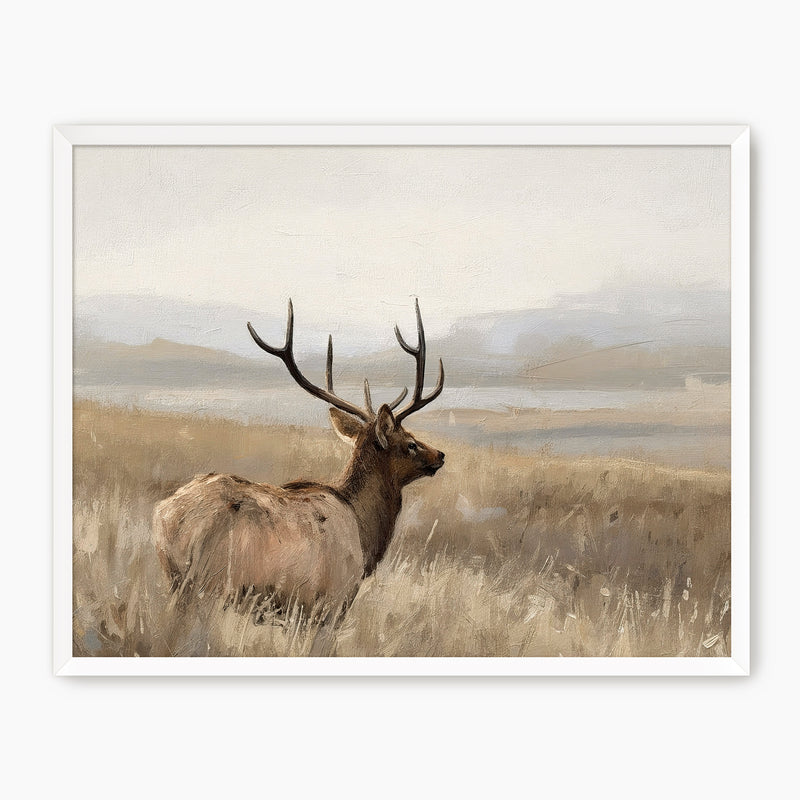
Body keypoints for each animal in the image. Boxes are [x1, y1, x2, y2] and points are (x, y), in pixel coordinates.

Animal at [152, 299, 445, 630]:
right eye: (410, 443)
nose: (440, 455)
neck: (365, 534)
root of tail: (168, 516)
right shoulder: (329, 604)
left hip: (175, 580)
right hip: (208, 585)